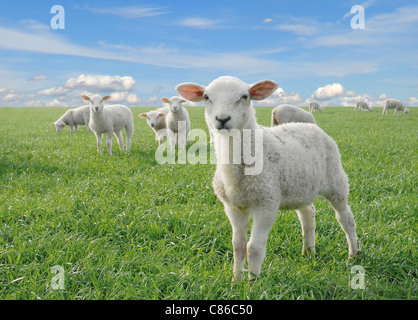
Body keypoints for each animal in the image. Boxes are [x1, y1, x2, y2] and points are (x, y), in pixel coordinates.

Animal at [176, 76, 360, 282]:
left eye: (245, 96)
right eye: (206, 97)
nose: (222, 119)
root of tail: (312, 126)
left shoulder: (266, 205)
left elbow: (254, 248)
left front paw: (252, 283)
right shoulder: (232, 207)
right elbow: (238, 246)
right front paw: (236, 280)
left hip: (336, 181)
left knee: (345, 217)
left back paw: (353, 253)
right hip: (300, 186)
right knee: (308, 214)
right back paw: (309, 251)